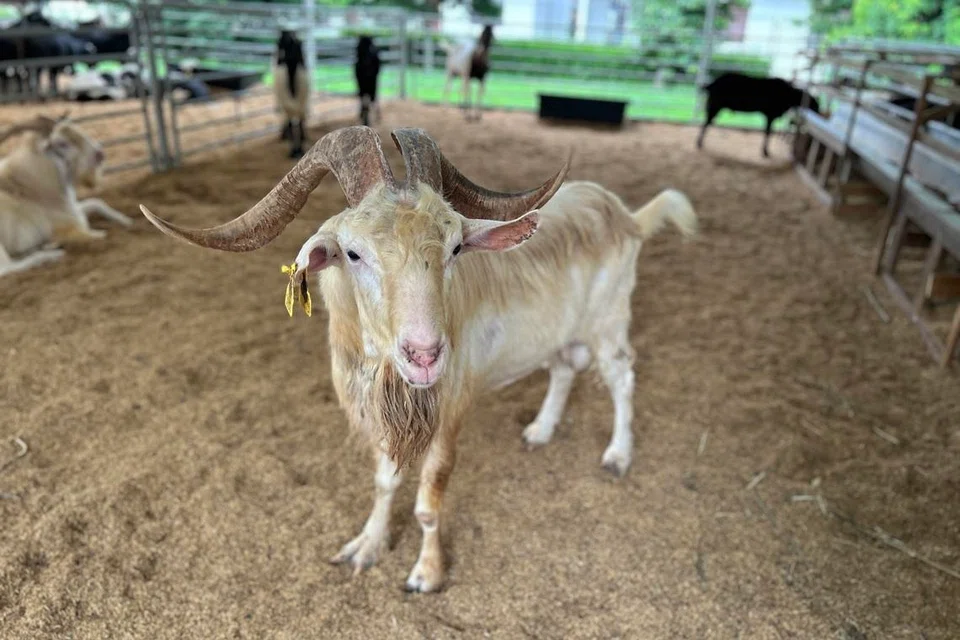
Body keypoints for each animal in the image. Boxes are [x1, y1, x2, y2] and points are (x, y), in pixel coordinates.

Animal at [0, 113, 133, 277]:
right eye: (61, 143)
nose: (100, 154)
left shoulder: (74, 209)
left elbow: (97, 202)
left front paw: (126, 220)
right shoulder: (69, 225)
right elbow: (97, 235)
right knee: (7, 268)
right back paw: (51, 255)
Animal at [138, 126, 698, 593]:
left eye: (455, 248)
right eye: (353, 253)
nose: (425, 355)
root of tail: (625, 214)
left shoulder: (449, 413)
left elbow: (429, 501)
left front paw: (426, 574)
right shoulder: (381, 416)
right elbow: (385, 482)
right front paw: (366, 548)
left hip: (609, 320)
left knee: (622, 376)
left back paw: (618, 455)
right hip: (561, 332)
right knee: (563, 367)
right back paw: (540, 431)